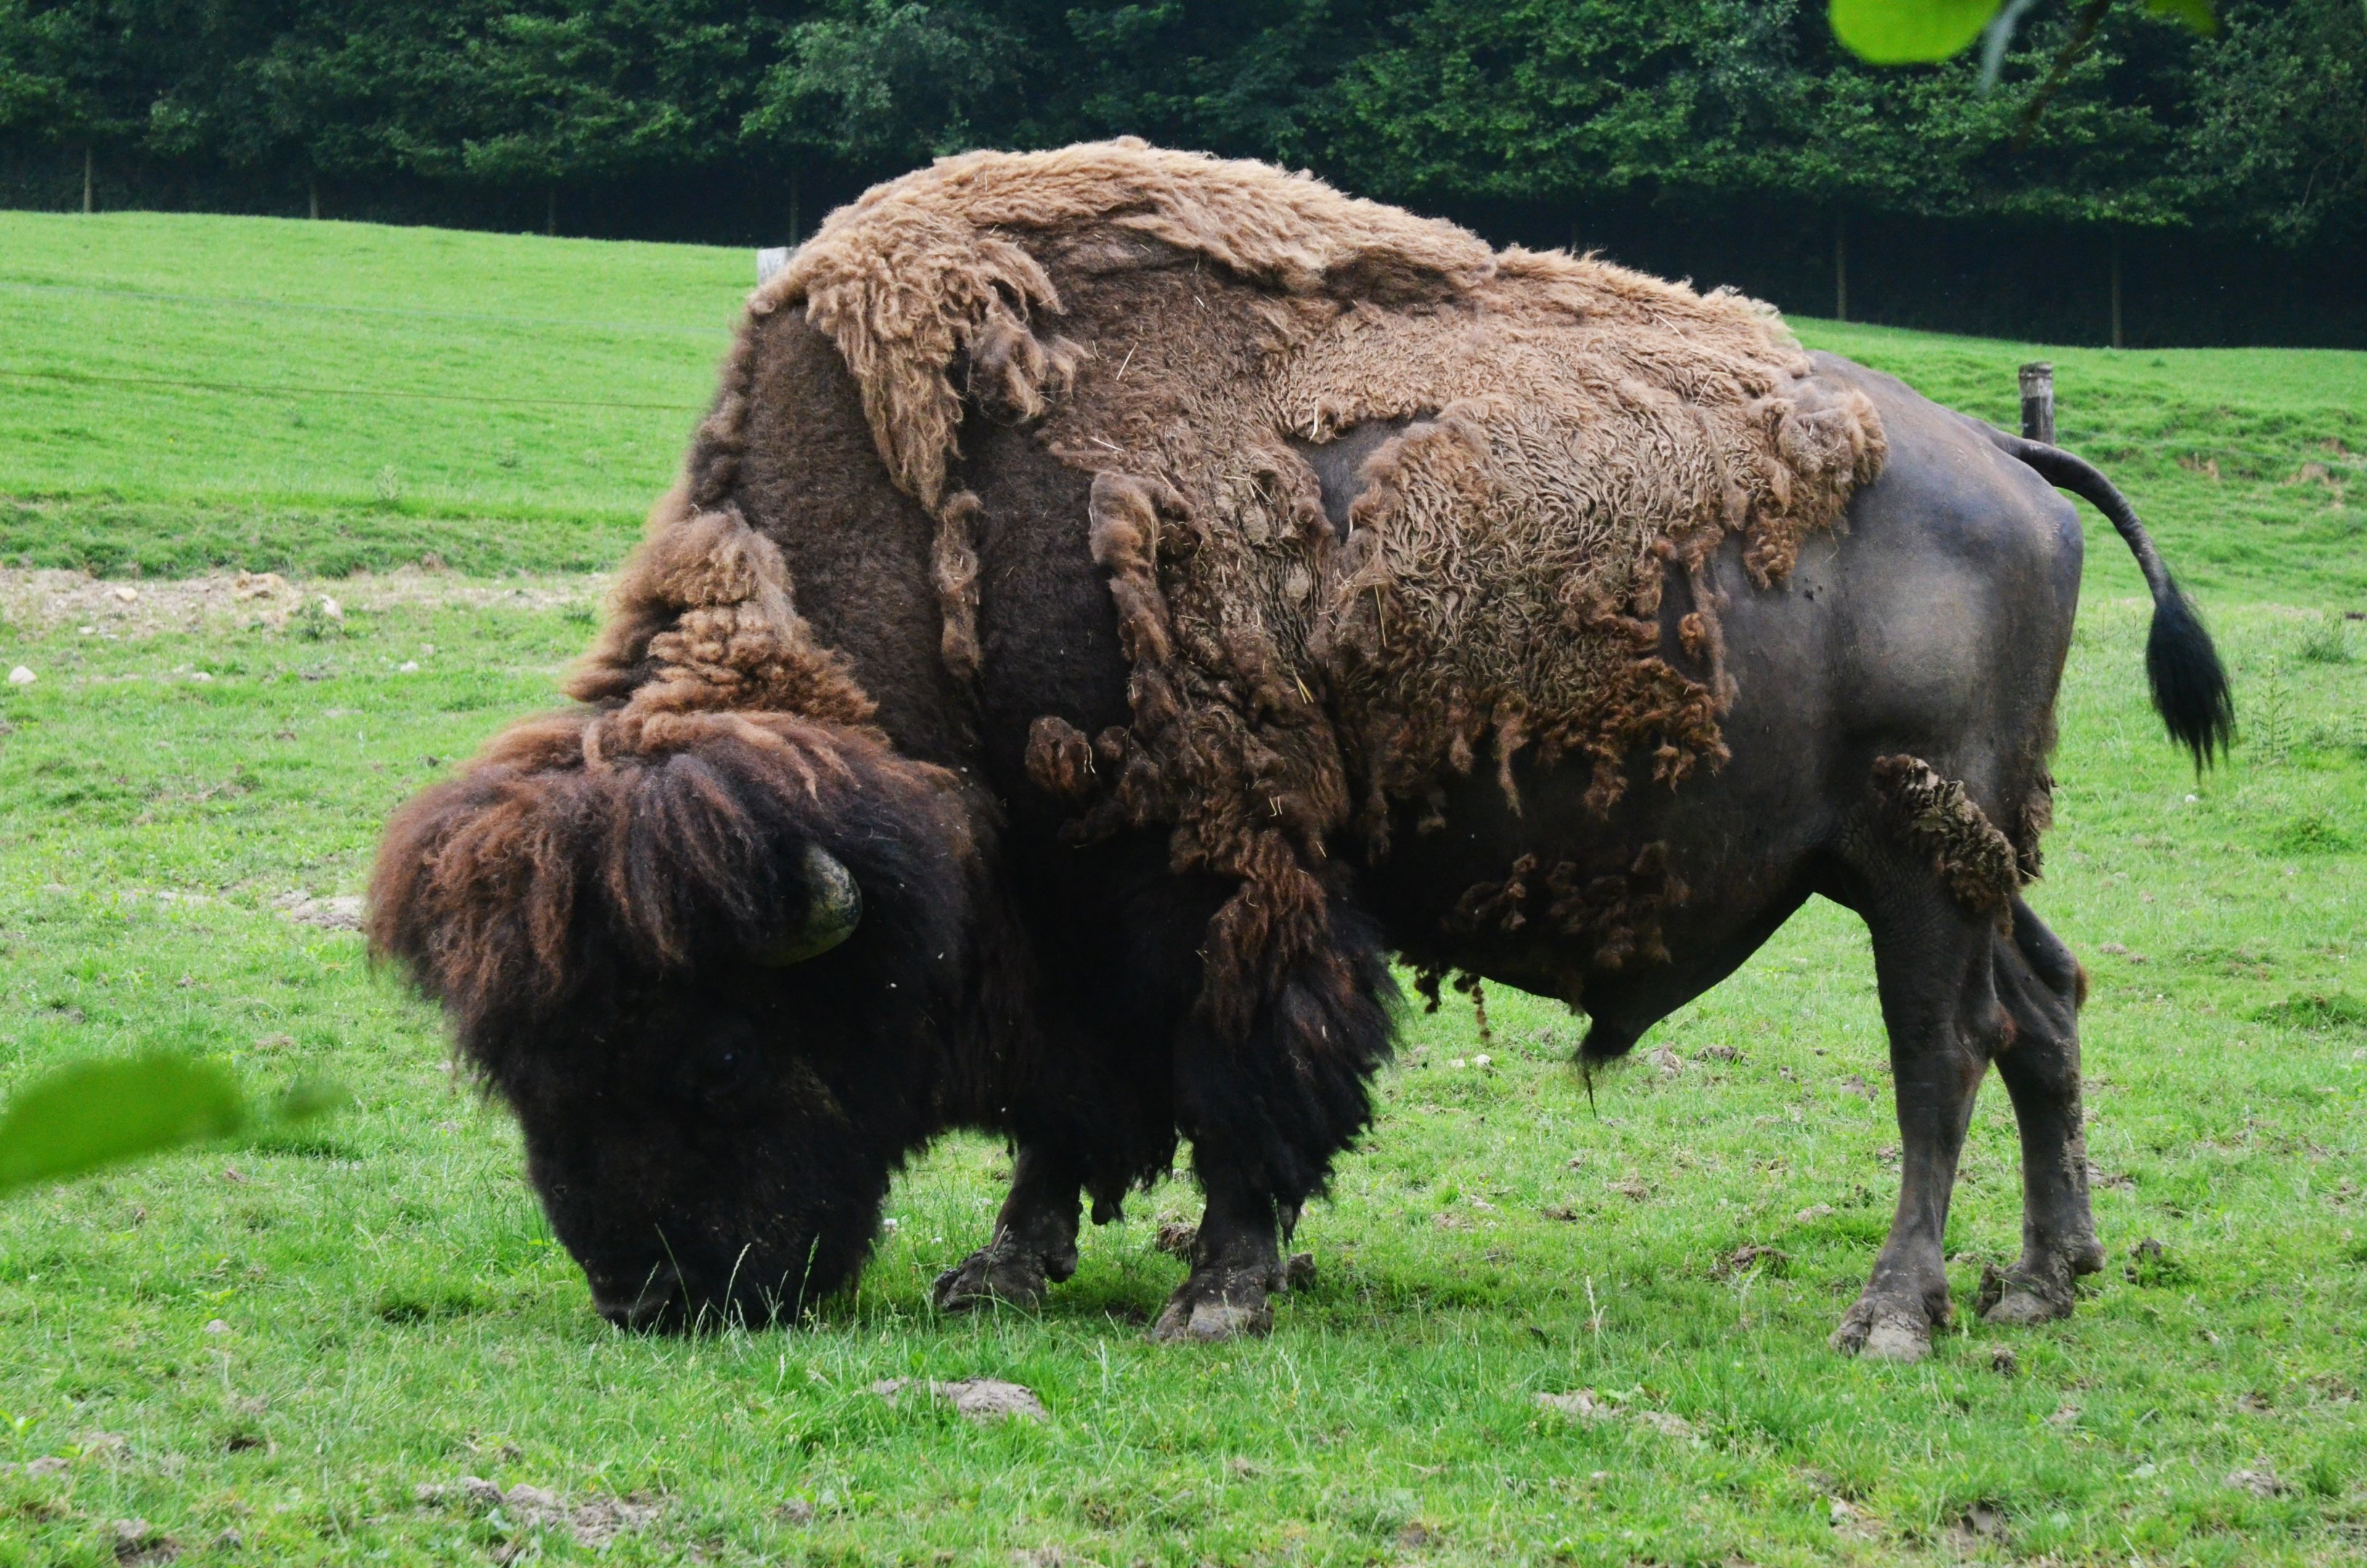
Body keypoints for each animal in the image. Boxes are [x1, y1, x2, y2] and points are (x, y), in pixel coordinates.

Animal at [371, 142, 2230, 1363]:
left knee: (1941, 1052)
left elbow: (1232, 1074)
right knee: (2043, 1009)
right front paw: (1005, 1268)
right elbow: (1069, 1109)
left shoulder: (1207, 884)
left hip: (1913, 859)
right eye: (518, 1065)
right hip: (1936, 852)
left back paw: (1894, 1312)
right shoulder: (1069, 916)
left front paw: (1214, 1289)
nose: (655, 1294)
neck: (948, 524)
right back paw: (2041, 1280)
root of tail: (2000, 452)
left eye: (712, 1049)